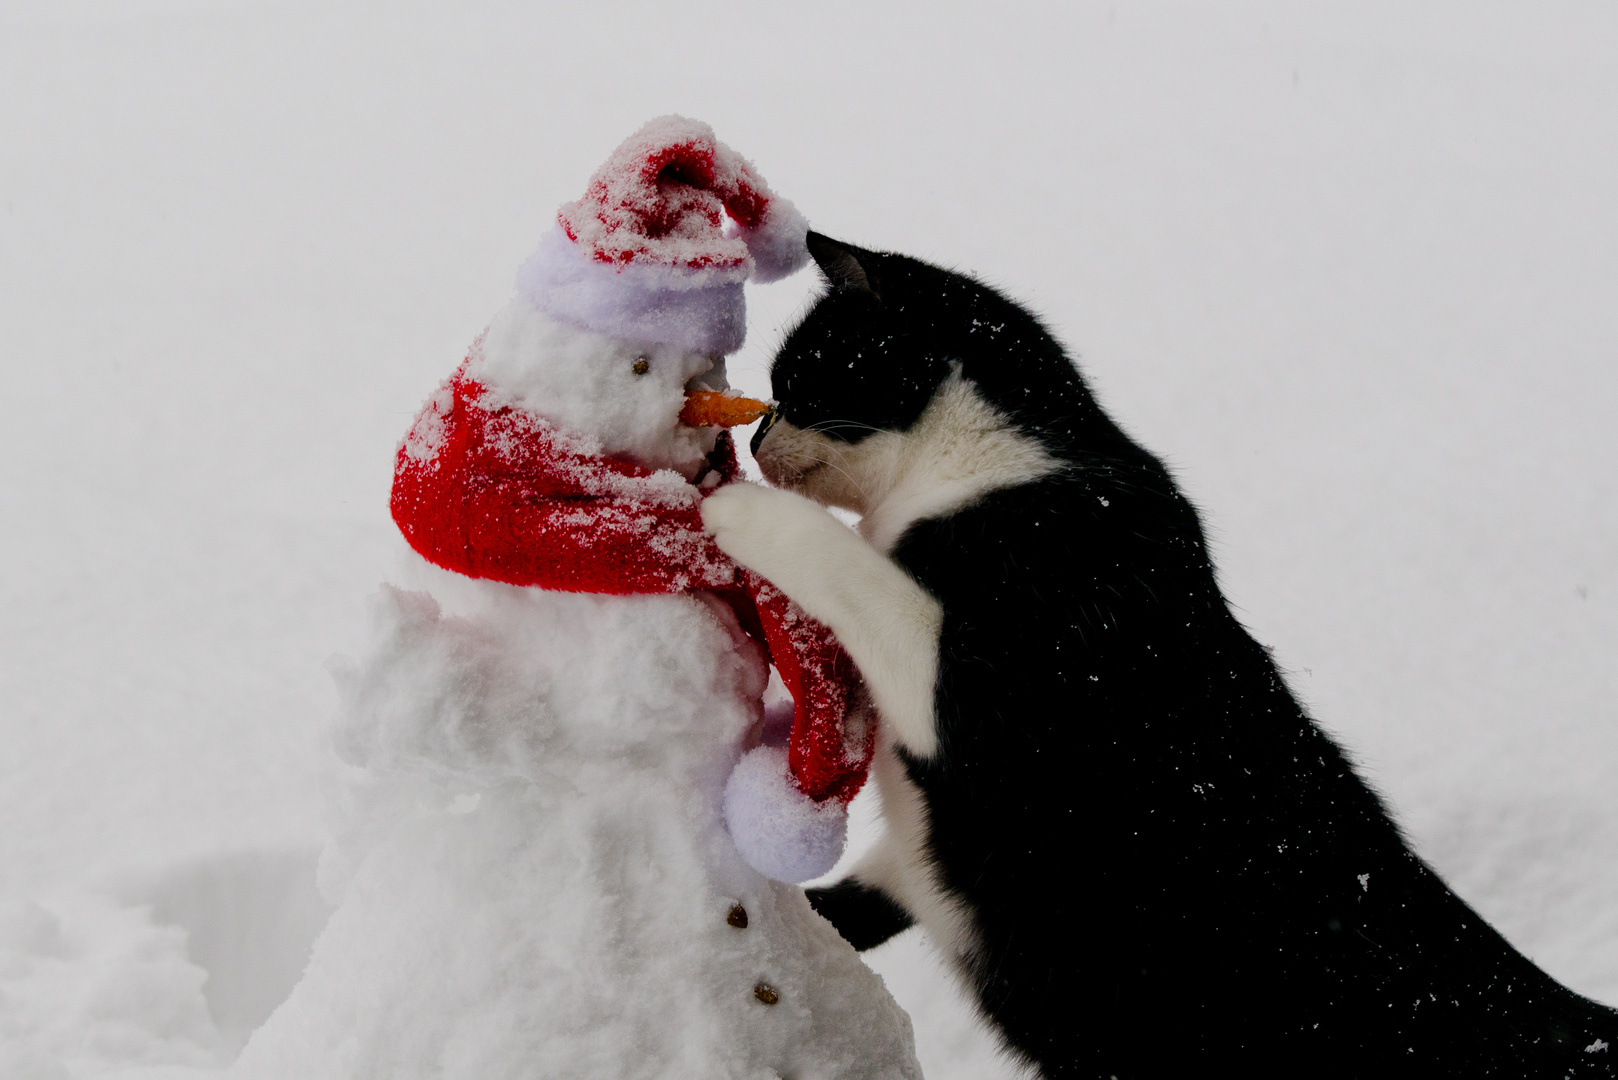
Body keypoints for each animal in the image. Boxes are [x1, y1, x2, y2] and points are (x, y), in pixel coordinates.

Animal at [705, 236, 1618, 1080]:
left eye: (797, 381)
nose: (758, 431)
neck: (988, 469)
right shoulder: (914, 865)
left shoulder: (1004, 685)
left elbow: (842, 562)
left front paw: (732, 507)